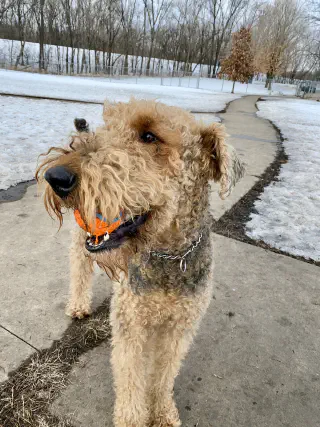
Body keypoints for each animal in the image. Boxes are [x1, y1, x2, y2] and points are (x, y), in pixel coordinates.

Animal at [35, 100, 245, 427]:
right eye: (109, 123)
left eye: (149, 136)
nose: (56, 177)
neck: (169, 256)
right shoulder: (131, 325)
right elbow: (131, 380)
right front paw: (134, 418)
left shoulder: (180, 328)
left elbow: (164, 375)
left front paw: (163, 413)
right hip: (82, 243)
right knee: (79, 270)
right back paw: (78, 306)